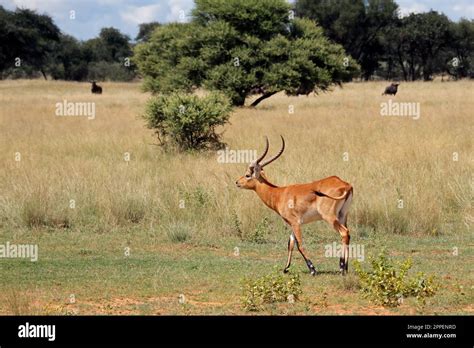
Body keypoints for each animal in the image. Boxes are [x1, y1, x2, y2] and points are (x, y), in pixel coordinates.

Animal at [235, 137, 354, 276]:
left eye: (248, 175)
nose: (237, 182)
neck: (279, 193)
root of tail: (345, 185)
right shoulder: (291, 223)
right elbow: (290, 243)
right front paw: (286, 268)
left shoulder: (295, 223)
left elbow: (299, 244)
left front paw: (312, 269)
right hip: (342, 215)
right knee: (347, 234)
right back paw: (345, 268)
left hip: (330, 217)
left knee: (344, 232)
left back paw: (341, 268)